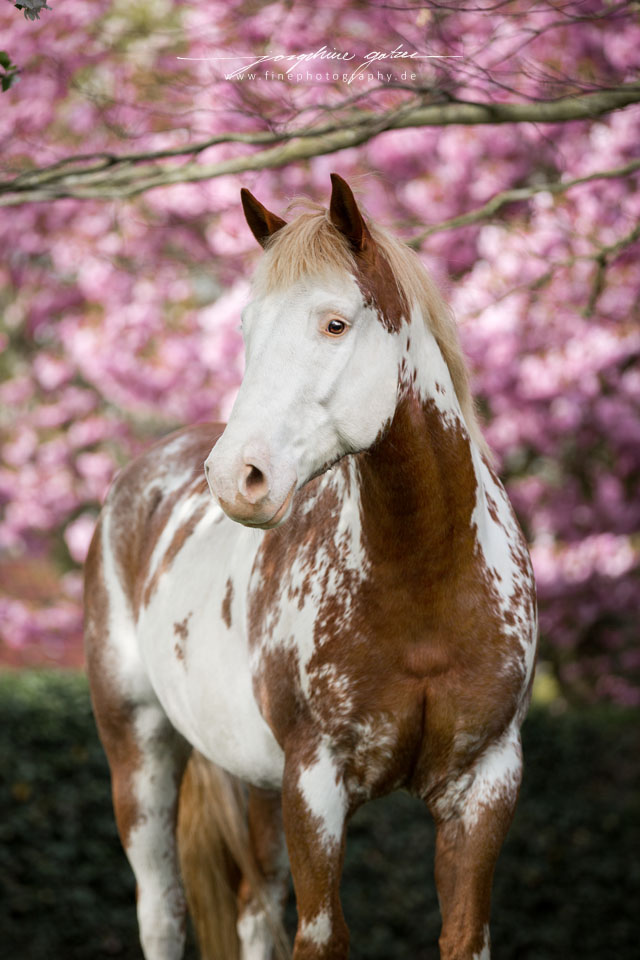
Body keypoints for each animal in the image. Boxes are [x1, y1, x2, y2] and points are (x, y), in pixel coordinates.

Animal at [84, 174, 536, 960]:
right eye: (246, 329)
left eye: (334, 324)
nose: (237, 477)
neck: (427, 585)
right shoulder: (315, 784)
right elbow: (321, 935)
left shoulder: (485, 784)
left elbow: (462, 934)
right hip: (138, 753)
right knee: (163, 910)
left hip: (252, 782)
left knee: (254, 909)